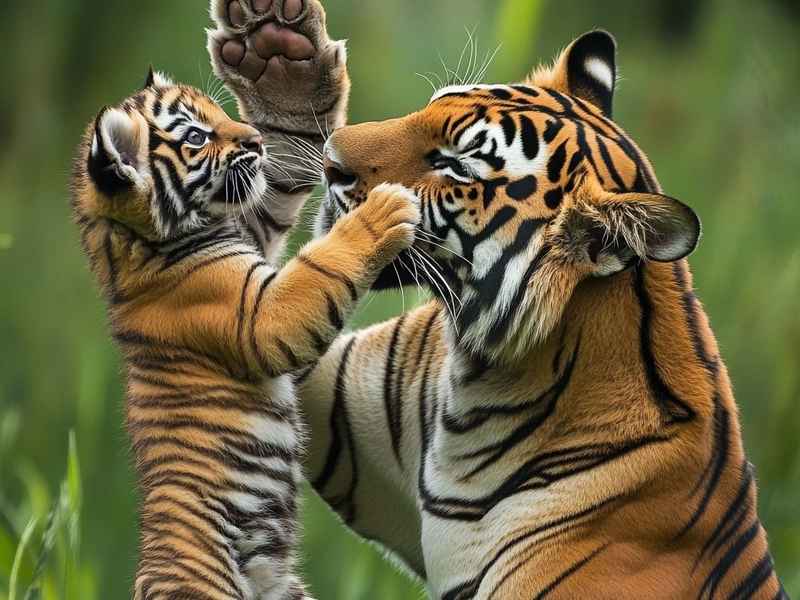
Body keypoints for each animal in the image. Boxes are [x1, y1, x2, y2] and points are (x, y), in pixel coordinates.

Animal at [70, 1, 420, 598]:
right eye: (195, 137)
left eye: (222, 114)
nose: (253, 139)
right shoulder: (255, 314)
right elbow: (320, 268)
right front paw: (383, 208)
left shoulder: (255, 223)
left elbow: (286, 162)